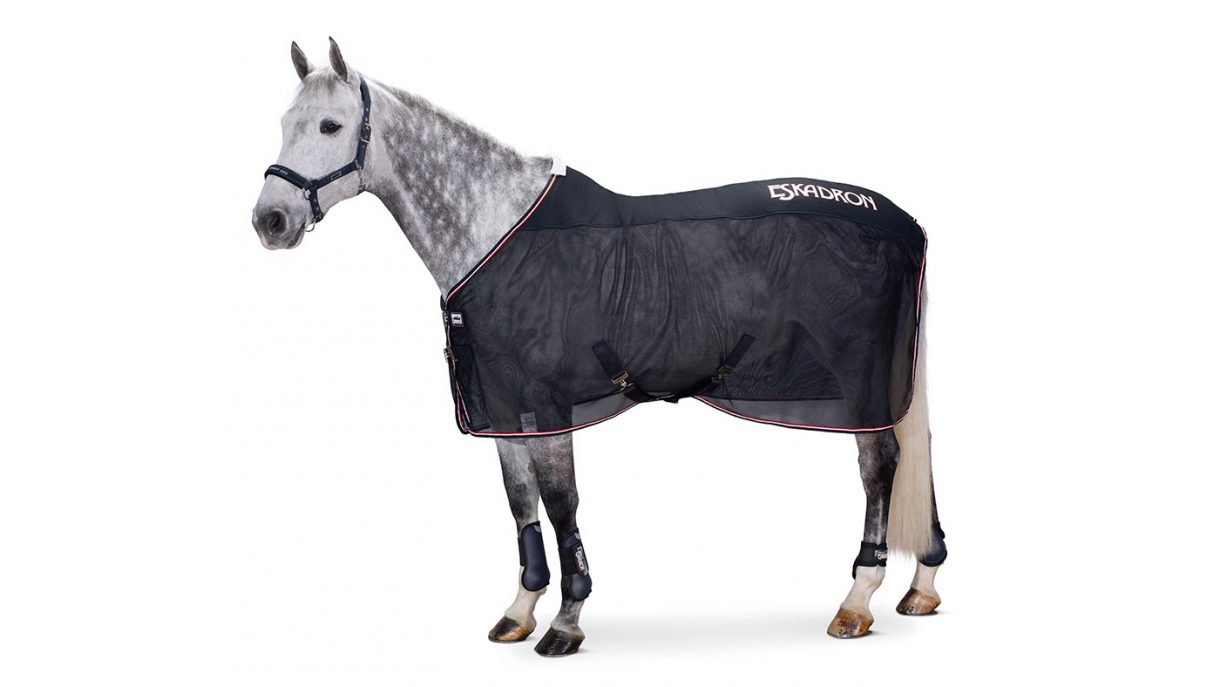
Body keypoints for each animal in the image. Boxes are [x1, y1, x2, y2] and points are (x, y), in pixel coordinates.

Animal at [251, 38, 947, 656]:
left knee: (879, 466)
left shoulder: (548, 405)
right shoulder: (504, 406)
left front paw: (566, 622)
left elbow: (561, 504)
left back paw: (857, 601)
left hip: (859, 379)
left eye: (332, 124)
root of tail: (907, 224)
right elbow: (521, 503)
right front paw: (519, 611)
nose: (269, 222)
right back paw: (921, 587)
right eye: (285, 122)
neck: (496, 231)